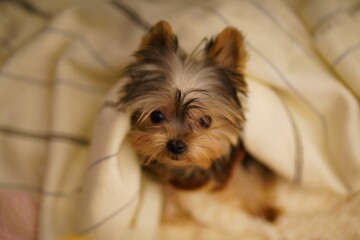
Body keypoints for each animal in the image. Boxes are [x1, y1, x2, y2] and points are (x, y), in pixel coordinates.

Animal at [118, 20, 278, 221]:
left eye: (205, 121)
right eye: (156, 116)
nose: (175, 145)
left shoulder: (240, 162)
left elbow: (249, 181)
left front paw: (263, 211)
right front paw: (171, 215)